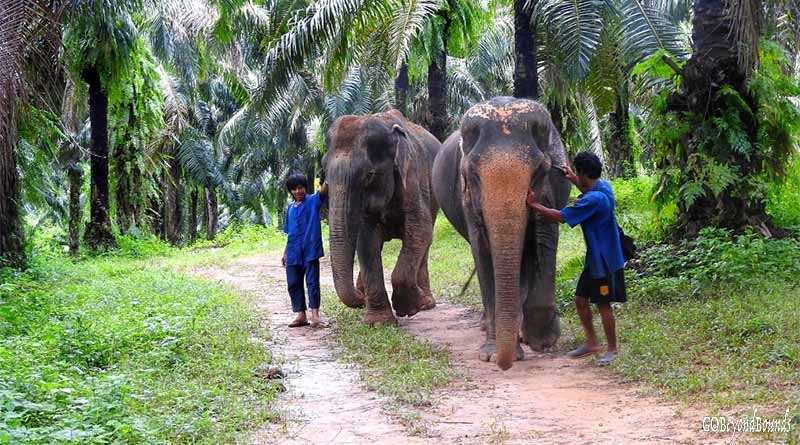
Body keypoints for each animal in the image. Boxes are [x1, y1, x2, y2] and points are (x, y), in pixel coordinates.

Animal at [322, 110, 441, 325]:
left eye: (369, 174)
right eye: (324, 174)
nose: (360, 300)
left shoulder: (412, 177)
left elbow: (420, 229)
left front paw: (408, 308)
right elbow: (366, 240)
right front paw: (378, 323)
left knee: (425, 241)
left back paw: (426, 303)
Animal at [432, 97, 571, 370]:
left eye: (540, 170)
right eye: (473, 173)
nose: (503, 364)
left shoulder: (552, 189)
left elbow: (545, 237)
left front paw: (541, 340)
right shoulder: (467, 201)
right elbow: (483, 253)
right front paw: (490, 354)